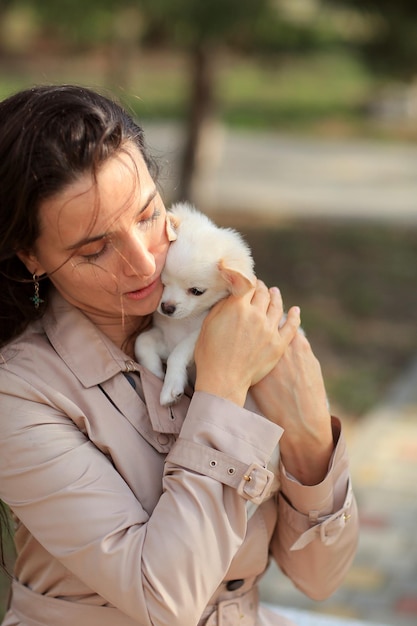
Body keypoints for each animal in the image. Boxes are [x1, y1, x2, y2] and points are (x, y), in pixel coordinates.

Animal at [135, 201, 255, 404]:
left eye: (197, 292)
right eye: (163, 281)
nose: (167, 308)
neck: (183, 323)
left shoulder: (198, 337)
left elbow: (178, 353)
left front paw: (171, 387)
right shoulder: (166, 340)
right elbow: (142, 341)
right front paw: (155, 371)